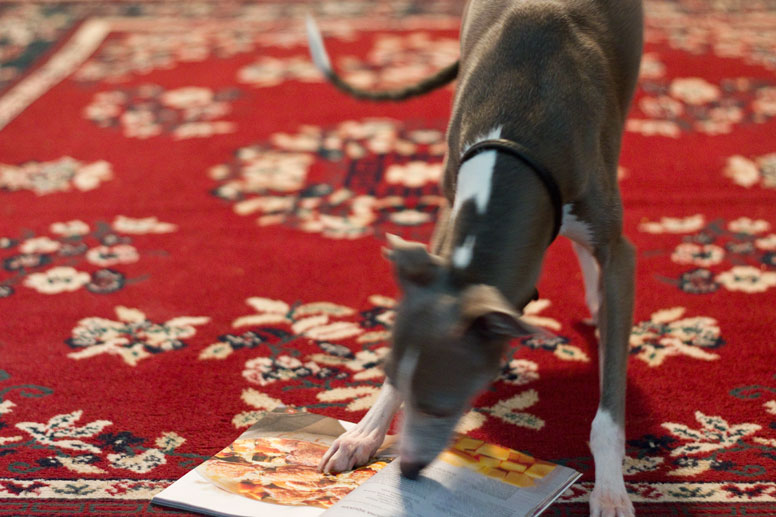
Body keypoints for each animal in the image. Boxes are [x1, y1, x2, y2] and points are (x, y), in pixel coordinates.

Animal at [310, 2, 644, 512]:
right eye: (398, 380)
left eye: (443, 406)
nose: (407, 471)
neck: (519, 134)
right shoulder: (447, 213)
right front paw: (363, 433)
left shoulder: (620, 253)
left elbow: (608, 412)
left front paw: (609, 491)